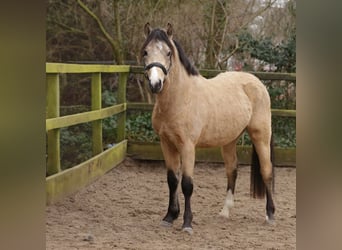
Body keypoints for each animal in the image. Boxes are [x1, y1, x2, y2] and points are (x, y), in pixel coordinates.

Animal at [142, 23, 276, 234]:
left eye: (168, 53)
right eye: (146, 51)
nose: (156, 84)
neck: (181, 98)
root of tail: (257, 83)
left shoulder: (188, 146)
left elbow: (187, 184)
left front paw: (187, 223)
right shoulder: (166, 144)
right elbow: (172, 180)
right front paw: (169, 217)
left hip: (260, 136)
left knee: (266, 171)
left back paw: (270, 215)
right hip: (229, 140)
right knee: (232, 170)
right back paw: (225, 212)